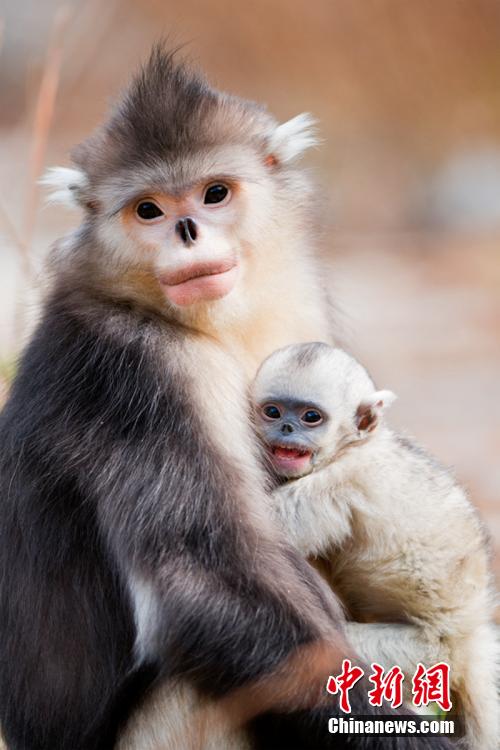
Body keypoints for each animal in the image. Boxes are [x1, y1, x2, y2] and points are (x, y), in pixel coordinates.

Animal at [252, 344, 498, 748]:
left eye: (310, 417)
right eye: (273, 411)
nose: (286, 428)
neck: (352, 446)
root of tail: (470, 633)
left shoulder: (340, 481)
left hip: (424, 654)